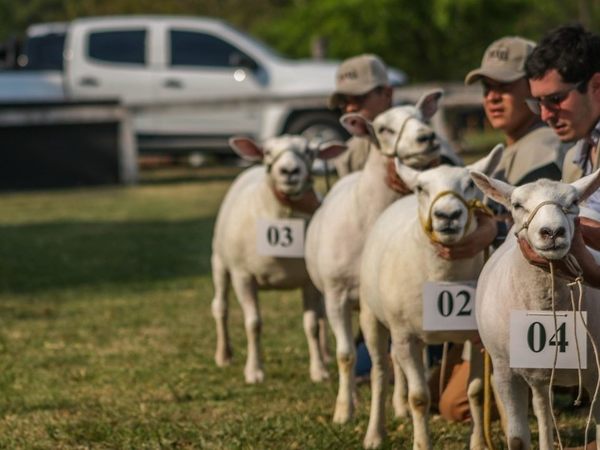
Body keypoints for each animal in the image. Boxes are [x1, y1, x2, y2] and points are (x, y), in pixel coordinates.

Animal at [211, 134, 344, 384]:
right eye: (267, 152)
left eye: (309, 152)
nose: (289, 171)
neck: (283, 215)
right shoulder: (243, 276)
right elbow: (253, 323)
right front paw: (254, 371)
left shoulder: (309, 281)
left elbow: (312, 324)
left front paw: (319, 370)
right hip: (220, 262)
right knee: (220, 307)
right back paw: (223, 355)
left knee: (322, 315)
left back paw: (326, 354)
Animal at [304, 90, 446, 422]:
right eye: (383, 128)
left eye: (422, 116)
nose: (427, 137)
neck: (366, 218)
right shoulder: (336, 294)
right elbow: (345, 355)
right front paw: (344, 410)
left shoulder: (393, 305)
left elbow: (396, 356)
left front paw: (401, 407)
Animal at [358, 147, 504, 446]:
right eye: (421, 188)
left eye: (469, 184)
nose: (447, 215)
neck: (443, 276)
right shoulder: (404, 335)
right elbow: (420, 398)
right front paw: (421, 443)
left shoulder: (476, 337)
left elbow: (475, 391)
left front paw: (479, 443)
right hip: (372, 315)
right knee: (380, 372)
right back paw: (375, 434)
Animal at [472, 170, 600, 450]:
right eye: (517, 205)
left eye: (573, 201)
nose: (552, 231)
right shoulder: (504, 371)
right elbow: (518, 439)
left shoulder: (598, 372)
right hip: (538, 372)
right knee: (542, 408)